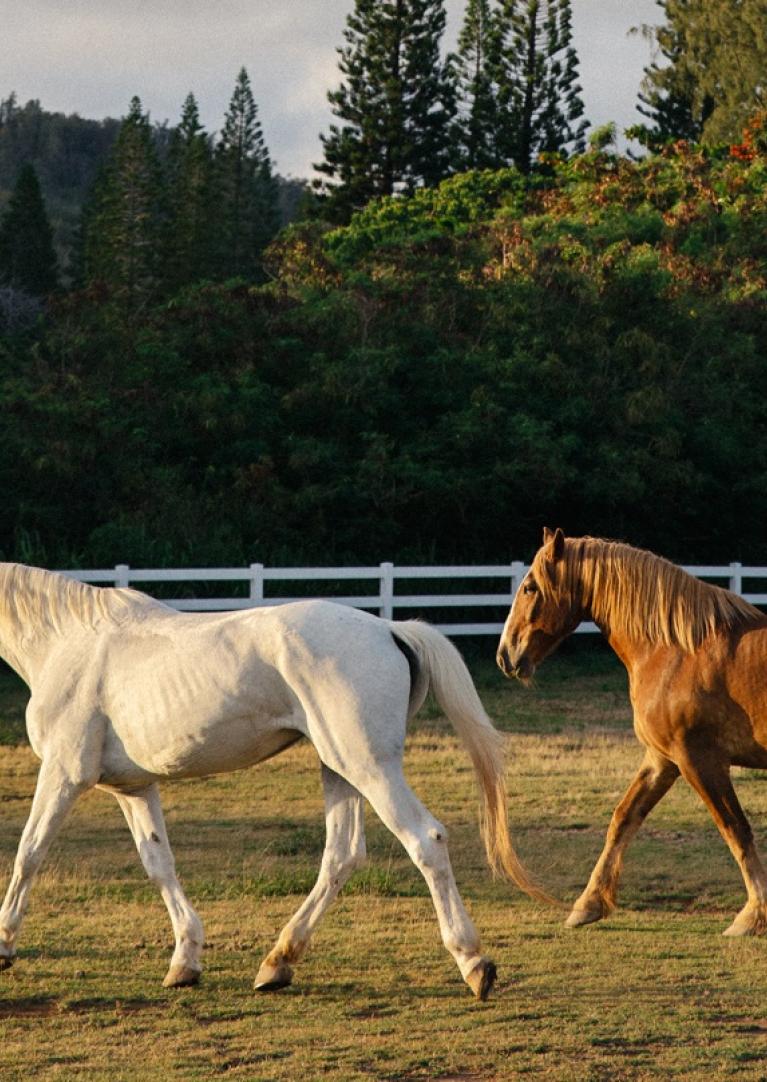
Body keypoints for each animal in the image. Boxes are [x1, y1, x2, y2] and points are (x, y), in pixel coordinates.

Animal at [0, 562, 546, 1000]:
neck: (65, 641)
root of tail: (389, 629)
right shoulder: (134, 788)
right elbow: (159, 865)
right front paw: (185, 962)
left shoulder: (64, 773)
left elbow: (29, 853)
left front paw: (5, 944)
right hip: (339, 769)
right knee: (342, 855)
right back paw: (277, 963)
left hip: (369, 767)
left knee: (424, 840)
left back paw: (474, 963)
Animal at [496, 527, 767, 936]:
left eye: (529, 587)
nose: (505, 655)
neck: (676, 650)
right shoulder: (662, 760)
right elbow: (623, 819)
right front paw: (587, 905)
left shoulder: (701, 762)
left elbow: (736, 829)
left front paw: (753, 915)